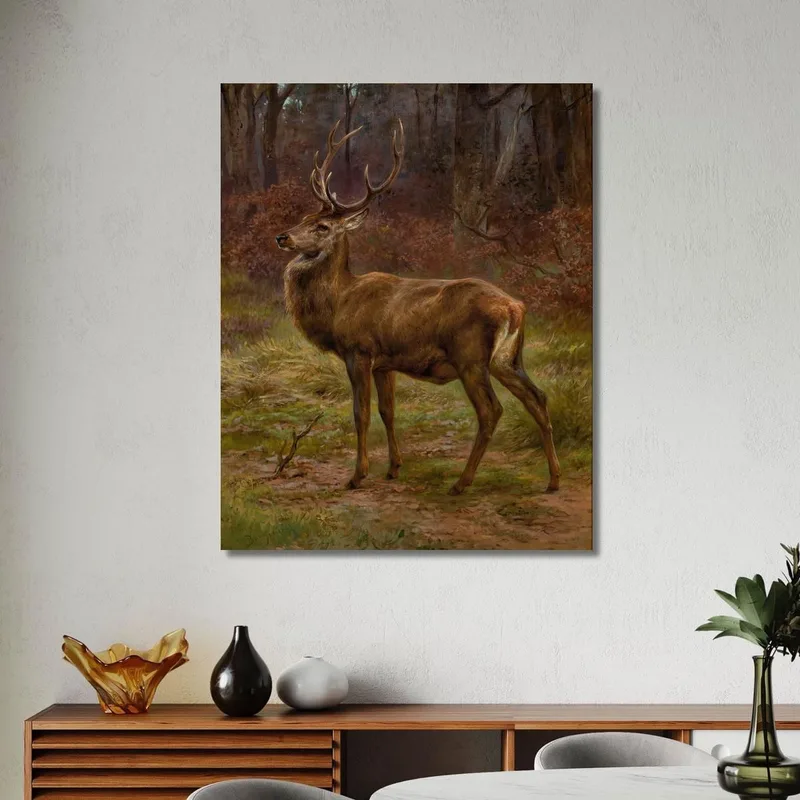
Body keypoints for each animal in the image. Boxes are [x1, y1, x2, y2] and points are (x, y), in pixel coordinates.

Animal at [276, 120, 560, 496]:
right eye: (304, 216)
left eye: (322, 226)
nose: (283, 237)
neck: (339, 304)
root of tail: (515, 307)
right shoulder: (384, 363)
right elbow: (388, 411)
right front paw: (394, 468)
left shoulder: (359, 351)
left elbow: (360, 414)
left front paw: (357, 476)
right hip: (509, 359)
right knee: (538, 398)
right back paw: (553, 480)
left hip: (470, 357)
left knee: (491, 411)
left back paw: (461, 483)